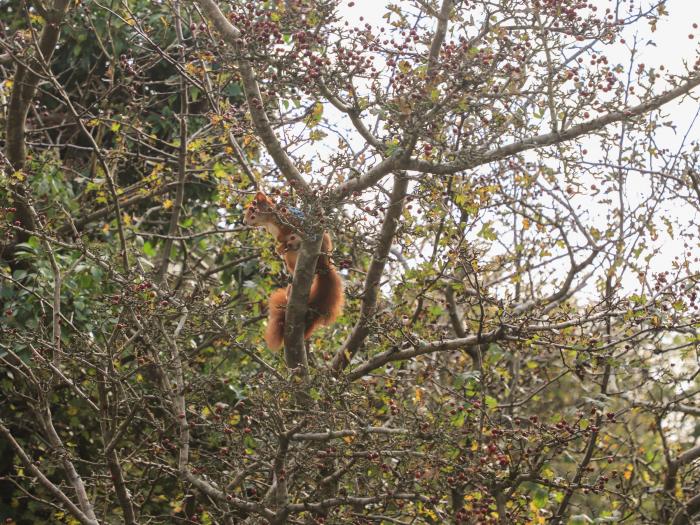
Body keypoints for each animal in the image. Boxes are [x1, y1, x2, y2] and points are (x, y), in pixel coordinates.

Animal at [243, 190, 344, 350]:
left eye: (252, 212)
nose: (244, 222)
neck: (269, 222)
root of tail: (325, 265)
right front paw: (279, 247)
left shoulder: (290, 220)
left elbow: (286, 233)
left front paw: (282, 242)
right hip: (291, 259)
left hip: (321, 248)